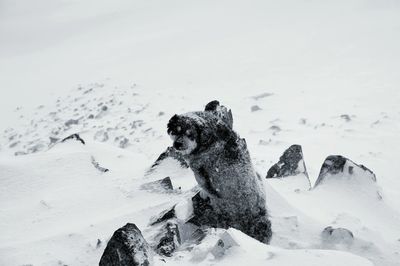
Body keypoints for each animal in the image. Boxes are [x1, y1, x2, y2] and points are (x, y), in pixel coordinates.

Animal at [166, 100, 272, 243]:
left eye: (190, 134)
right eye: (176, 131)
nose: (178, 144)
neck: (209, 138)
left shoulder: (201, 172)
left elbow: (206, 186)